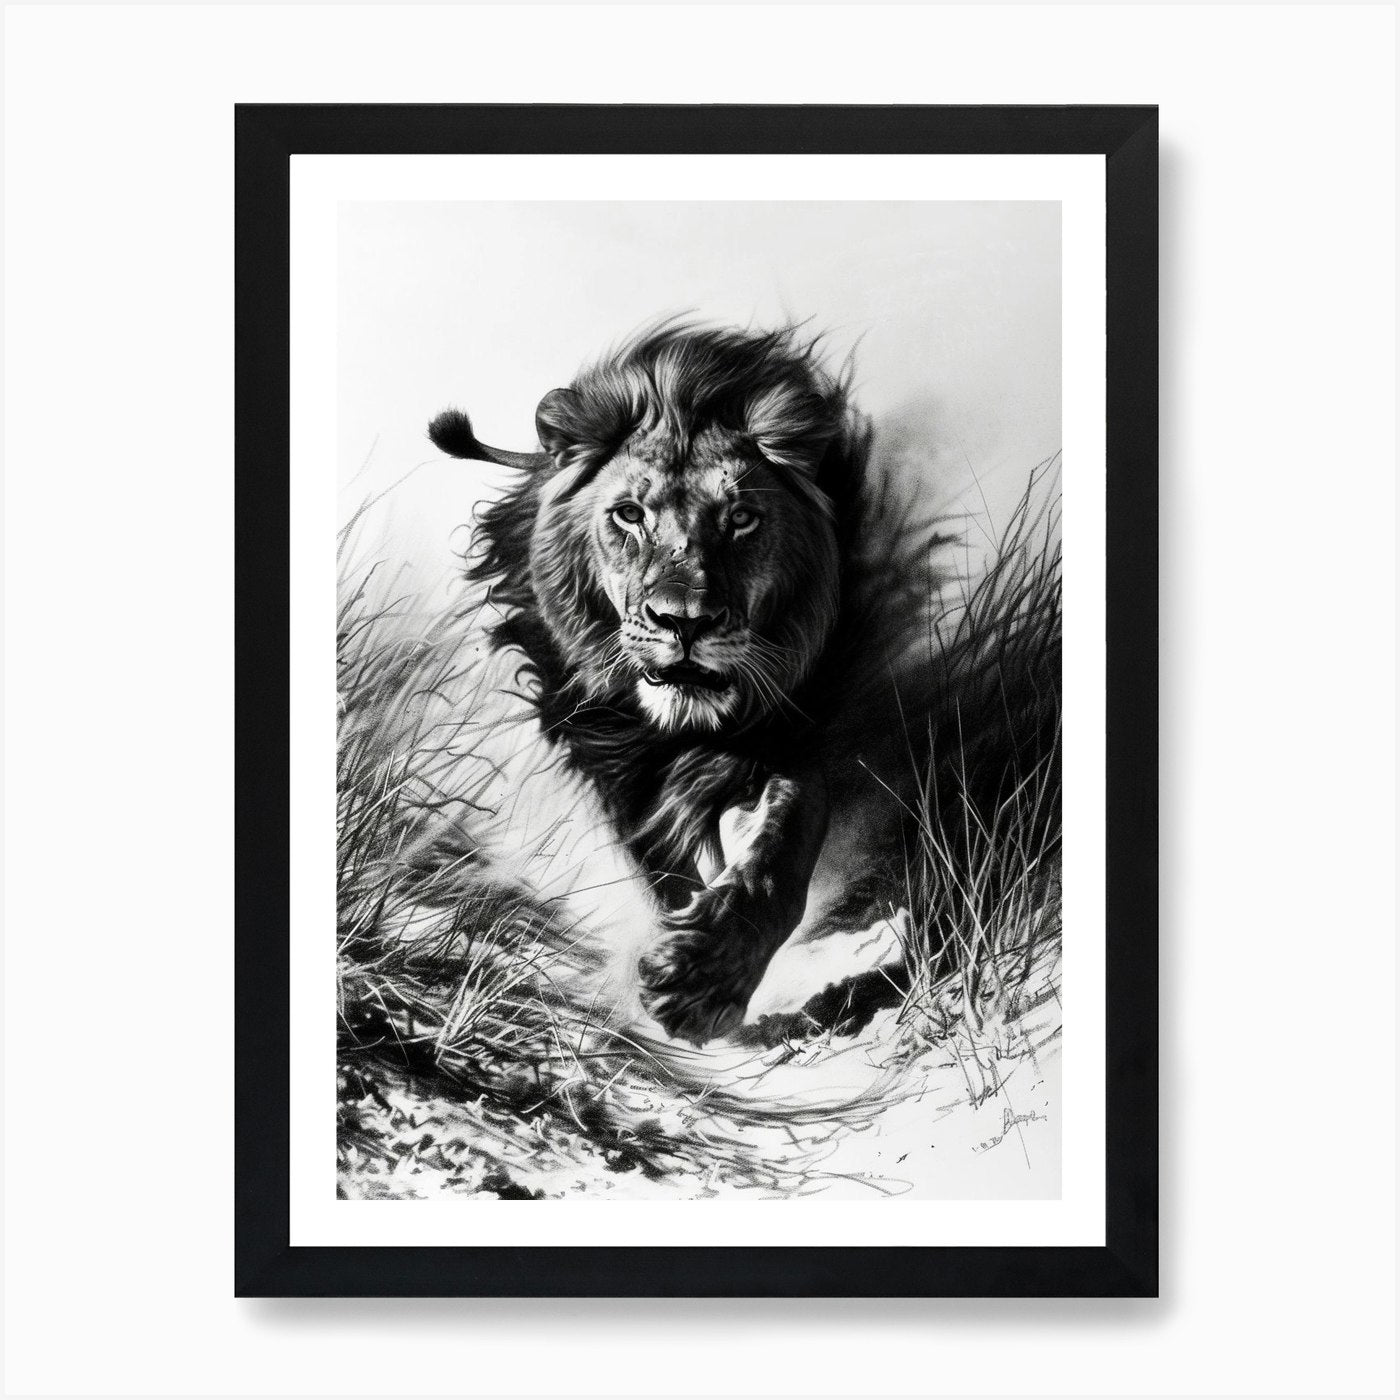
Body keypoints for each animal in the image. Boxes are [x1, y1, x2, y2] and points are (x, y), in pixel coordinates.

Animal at [429, 322, 935, 1044]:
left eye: (742, 518)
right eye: (629, 514)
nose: (685, 620)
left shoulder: (786, 732)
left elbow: (784, 843)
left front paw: (703, 981)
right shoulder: (611, 758)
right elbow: (659, 855)